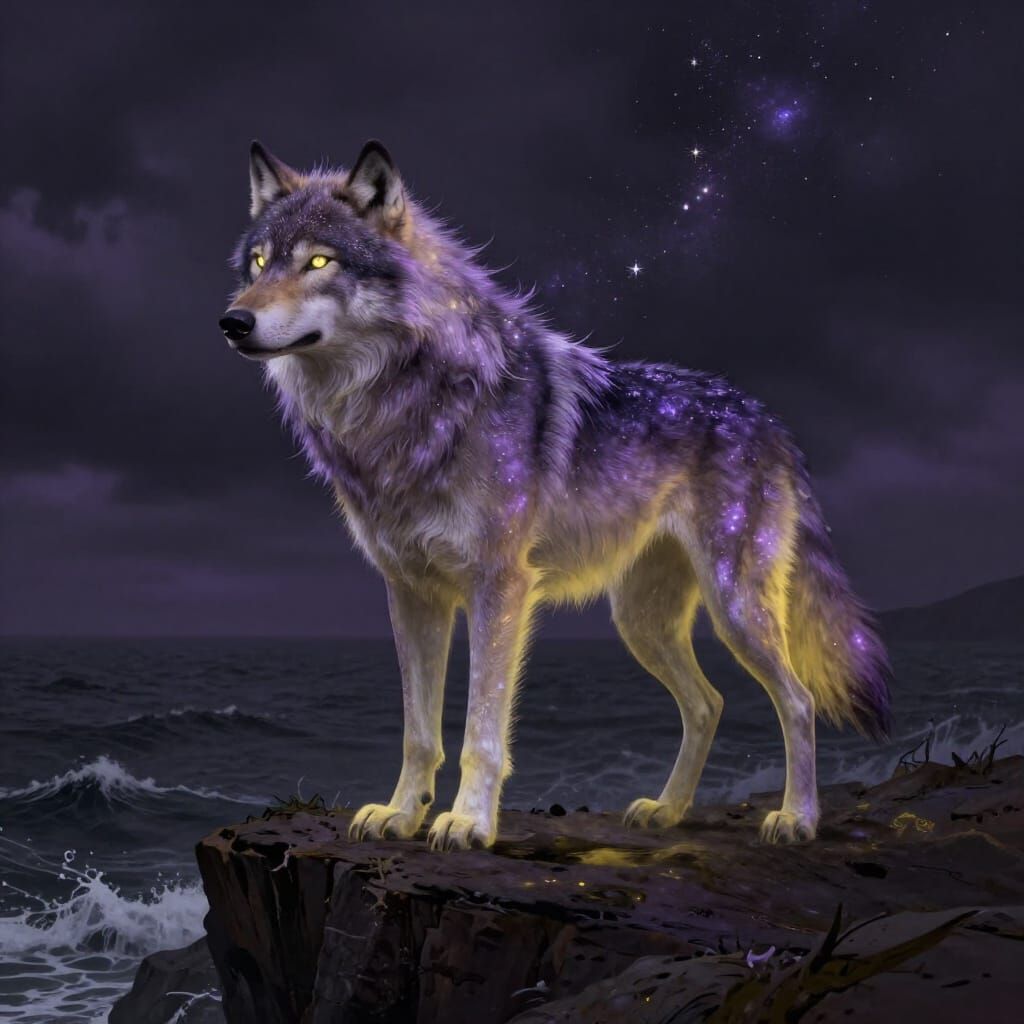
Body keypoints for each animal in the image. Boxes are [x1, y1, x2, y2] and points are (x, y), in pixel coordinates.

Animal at [218, 139, 890, 851]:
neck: (403, 409)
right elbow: (418, 733)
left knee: (798, 699)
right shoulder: (412, 594)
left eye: (319, 261)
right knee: (709, 703)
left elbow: (481, 733)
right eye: (259, 262)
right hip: (641, 622)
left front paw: (469, 822)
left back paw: (798, 818)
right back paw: (667, 810)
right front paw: (401, 814)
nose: (233, 321)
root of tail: (770, 420)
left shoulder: (500, 586)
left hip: (735, 609)